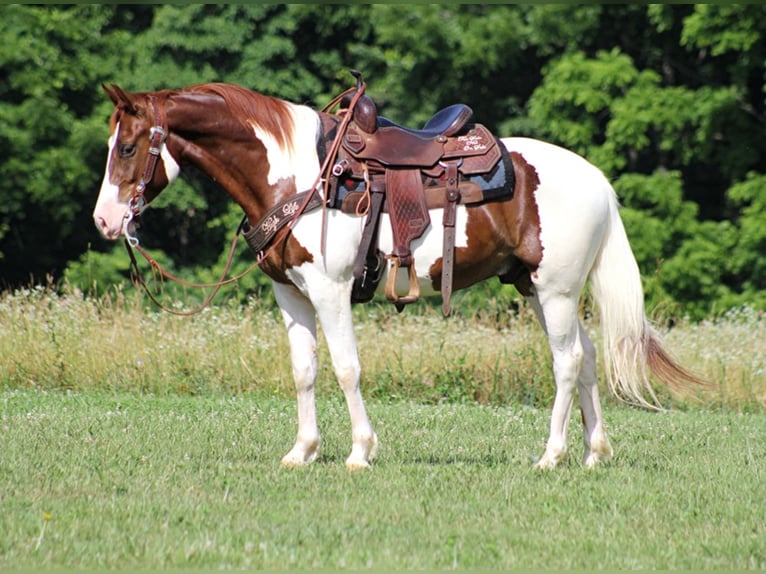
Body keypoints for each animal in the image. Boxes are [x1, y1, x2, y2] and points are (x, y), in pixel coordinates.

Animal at [93, 81, 704, 470]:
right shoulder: (290, 294)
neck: (297, 176)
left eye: (128, 146)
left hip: (554, 291)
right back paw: (594, 454)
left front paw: (360, 452)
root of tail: (597, 179)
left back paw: (551, 457)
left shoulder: (331, 290)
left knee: (568, 362)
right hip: (537, 289)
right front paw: (301, 452)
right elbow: (303, 372)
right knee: (589, 357)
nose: (104, 221)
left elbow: (345, 368)